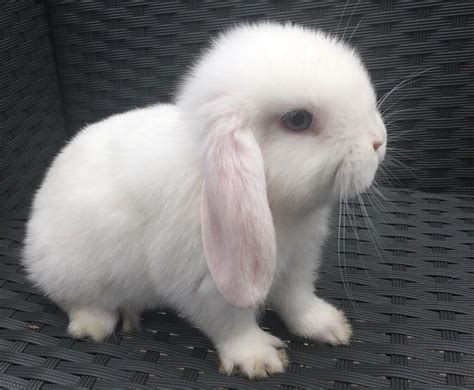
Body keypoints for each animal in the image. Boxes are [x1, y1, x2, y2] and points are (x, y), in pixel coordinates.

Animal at [23, 22, 386, 378]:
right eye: (298, 120)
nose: (378, 141)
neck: (277, 206)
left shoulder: (297, 264)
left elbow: (298, 301)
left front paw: (330, 327)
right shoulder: (206, 284)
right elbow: (231, 324)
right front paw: (258, 359)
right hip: (72, 274)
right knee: (73, 301)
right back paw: (96, 325)